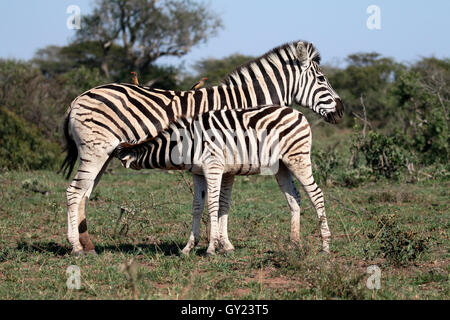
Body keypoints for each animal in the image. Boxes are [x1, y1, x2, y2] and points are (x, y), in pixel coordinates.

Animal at [116, 105, 330, 255]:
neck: (186, 143)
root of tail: (297, 113)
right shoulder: (198, 173)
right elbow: (197, 207)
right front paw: (189, 247)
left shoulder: (214, 168)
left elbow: (213, 205)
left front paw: (211, 248)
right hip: (282, 166)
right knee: (294, 198)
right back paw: (294, 243)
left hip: (298, 158)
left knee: (317, 194)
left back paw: (325, 246)